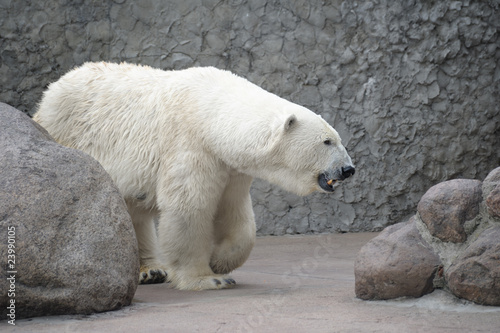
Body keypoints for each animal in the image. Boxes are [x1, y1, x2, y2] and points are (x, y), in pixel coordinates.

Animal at [34, 63, 356, 290]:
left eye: (338, 139)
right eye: (327, 141)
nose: (348, 169)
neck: (211, 112)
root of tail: (51, 90)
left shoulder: (230, 167)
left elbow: (235, 214)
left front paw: (220, 261)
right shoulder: (190, 145)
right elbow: (189, 209)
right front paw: (209, 278)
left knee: (133, 210)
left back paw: (151, 270)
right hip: (64, 132)